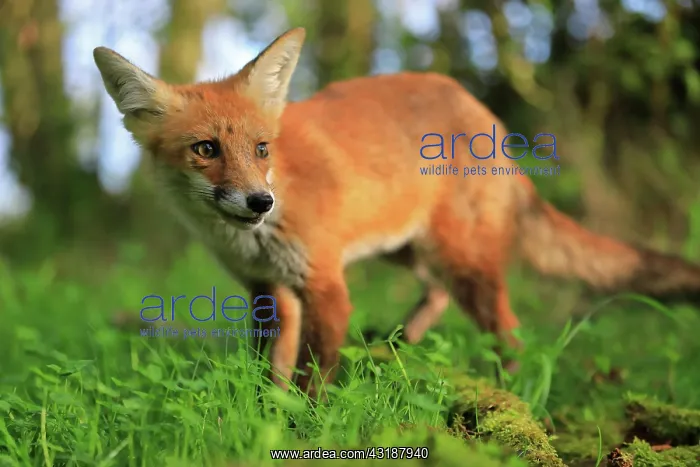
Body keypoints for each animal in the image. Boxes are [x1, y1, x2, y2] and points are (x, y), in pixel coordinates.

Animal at [93, 27, 700, 397]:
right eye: (206, 149)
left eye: (262, 149)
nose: (260, 202)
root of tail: (488, 117)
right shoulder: (269, 292)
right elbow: (273, 373)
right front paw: (267, 413)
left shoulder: (326, 286)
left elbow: (312, 381)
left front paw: (302, 427)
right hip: (406, 250)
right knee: (435, 294)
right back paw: (394, 347)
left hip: (463, 261)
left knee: (509, 334)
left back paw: (509, 392)